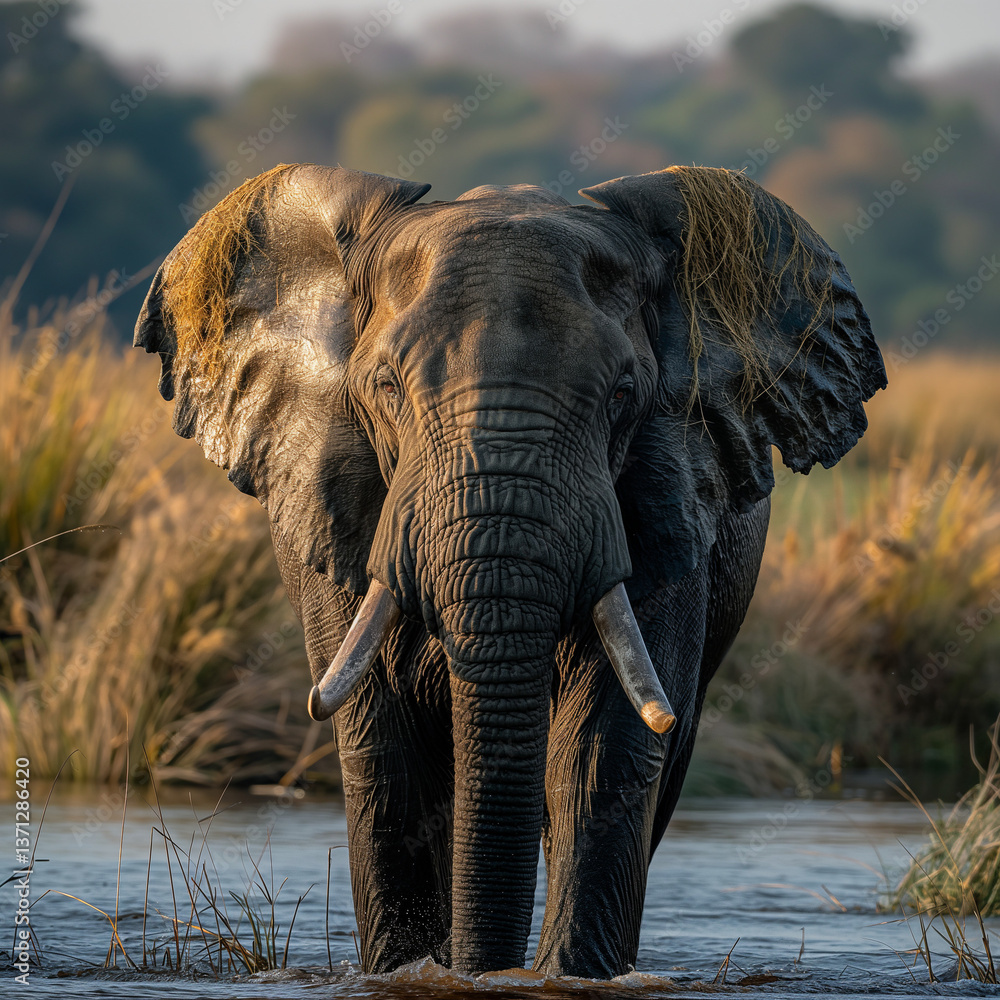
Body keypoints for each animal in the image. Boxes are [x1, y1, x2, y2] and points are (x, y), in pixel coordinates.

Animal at [134, 162, 885, 978]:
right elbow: (386, 754)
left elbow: (601, 751)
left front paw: (563, 976)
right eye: (387, 389)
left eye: (624, 394)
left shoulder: (672, 495)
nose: (482, 971)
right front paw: (414, 972)